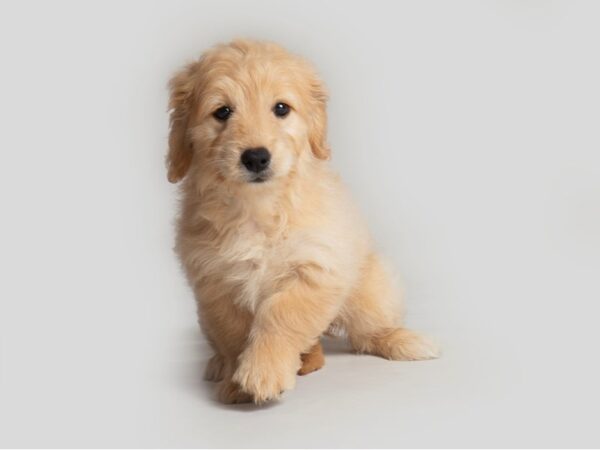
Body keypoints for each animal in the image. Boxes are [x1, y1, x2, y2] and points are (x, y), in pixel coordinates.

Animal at [166, 38, 438, 404]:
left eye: (281, 108)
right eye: (222, 112)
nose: (256, 157)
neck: (259, 208)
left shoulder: (317, 268)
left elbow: (281, 314)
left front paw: (264, 370)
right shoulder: (216, 283)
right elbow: (235, 333)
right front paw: (237, 379)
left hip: (372, 289)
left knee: (367, 330)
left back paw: (402, 341)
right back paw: (220, 364)